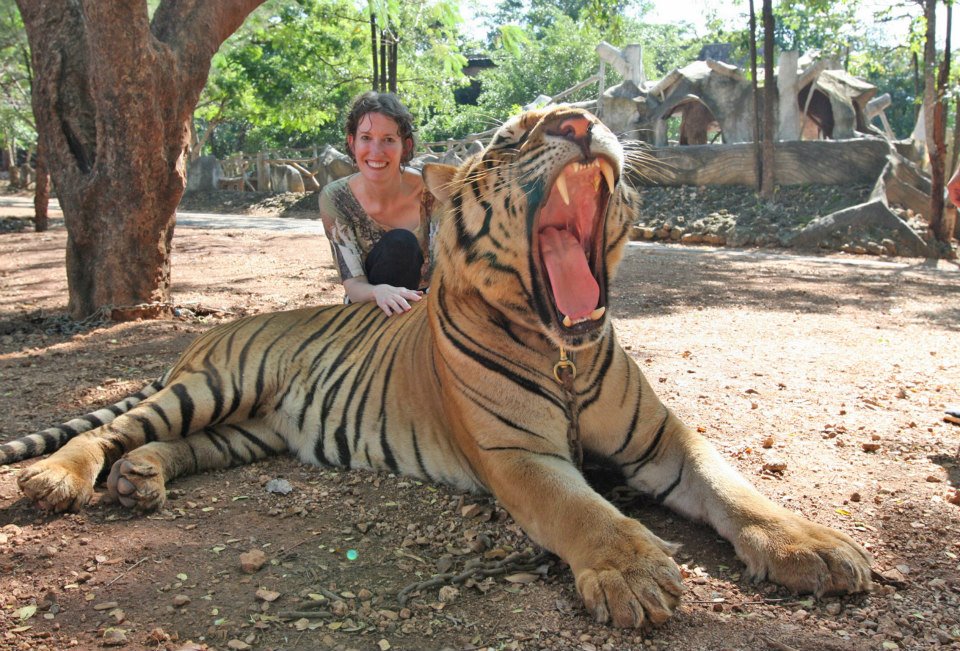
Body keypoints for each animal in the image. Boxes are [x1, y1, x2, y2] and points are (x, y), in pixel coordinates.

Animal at [0, 106, 872, 628]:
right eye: (512, 137)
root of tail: (219, 332)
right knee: (111, 426)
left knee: (169, 444)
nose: (580, 120)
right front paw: (634, 573)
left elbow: (737, 489)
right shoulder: (519, 455)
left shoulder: (668, 439)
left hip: (249, 430)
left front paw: (816, 546)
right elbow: (584, 511)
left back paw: (140, 479)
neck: (564, 347)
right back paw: (57, 477)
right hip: (219, 385)